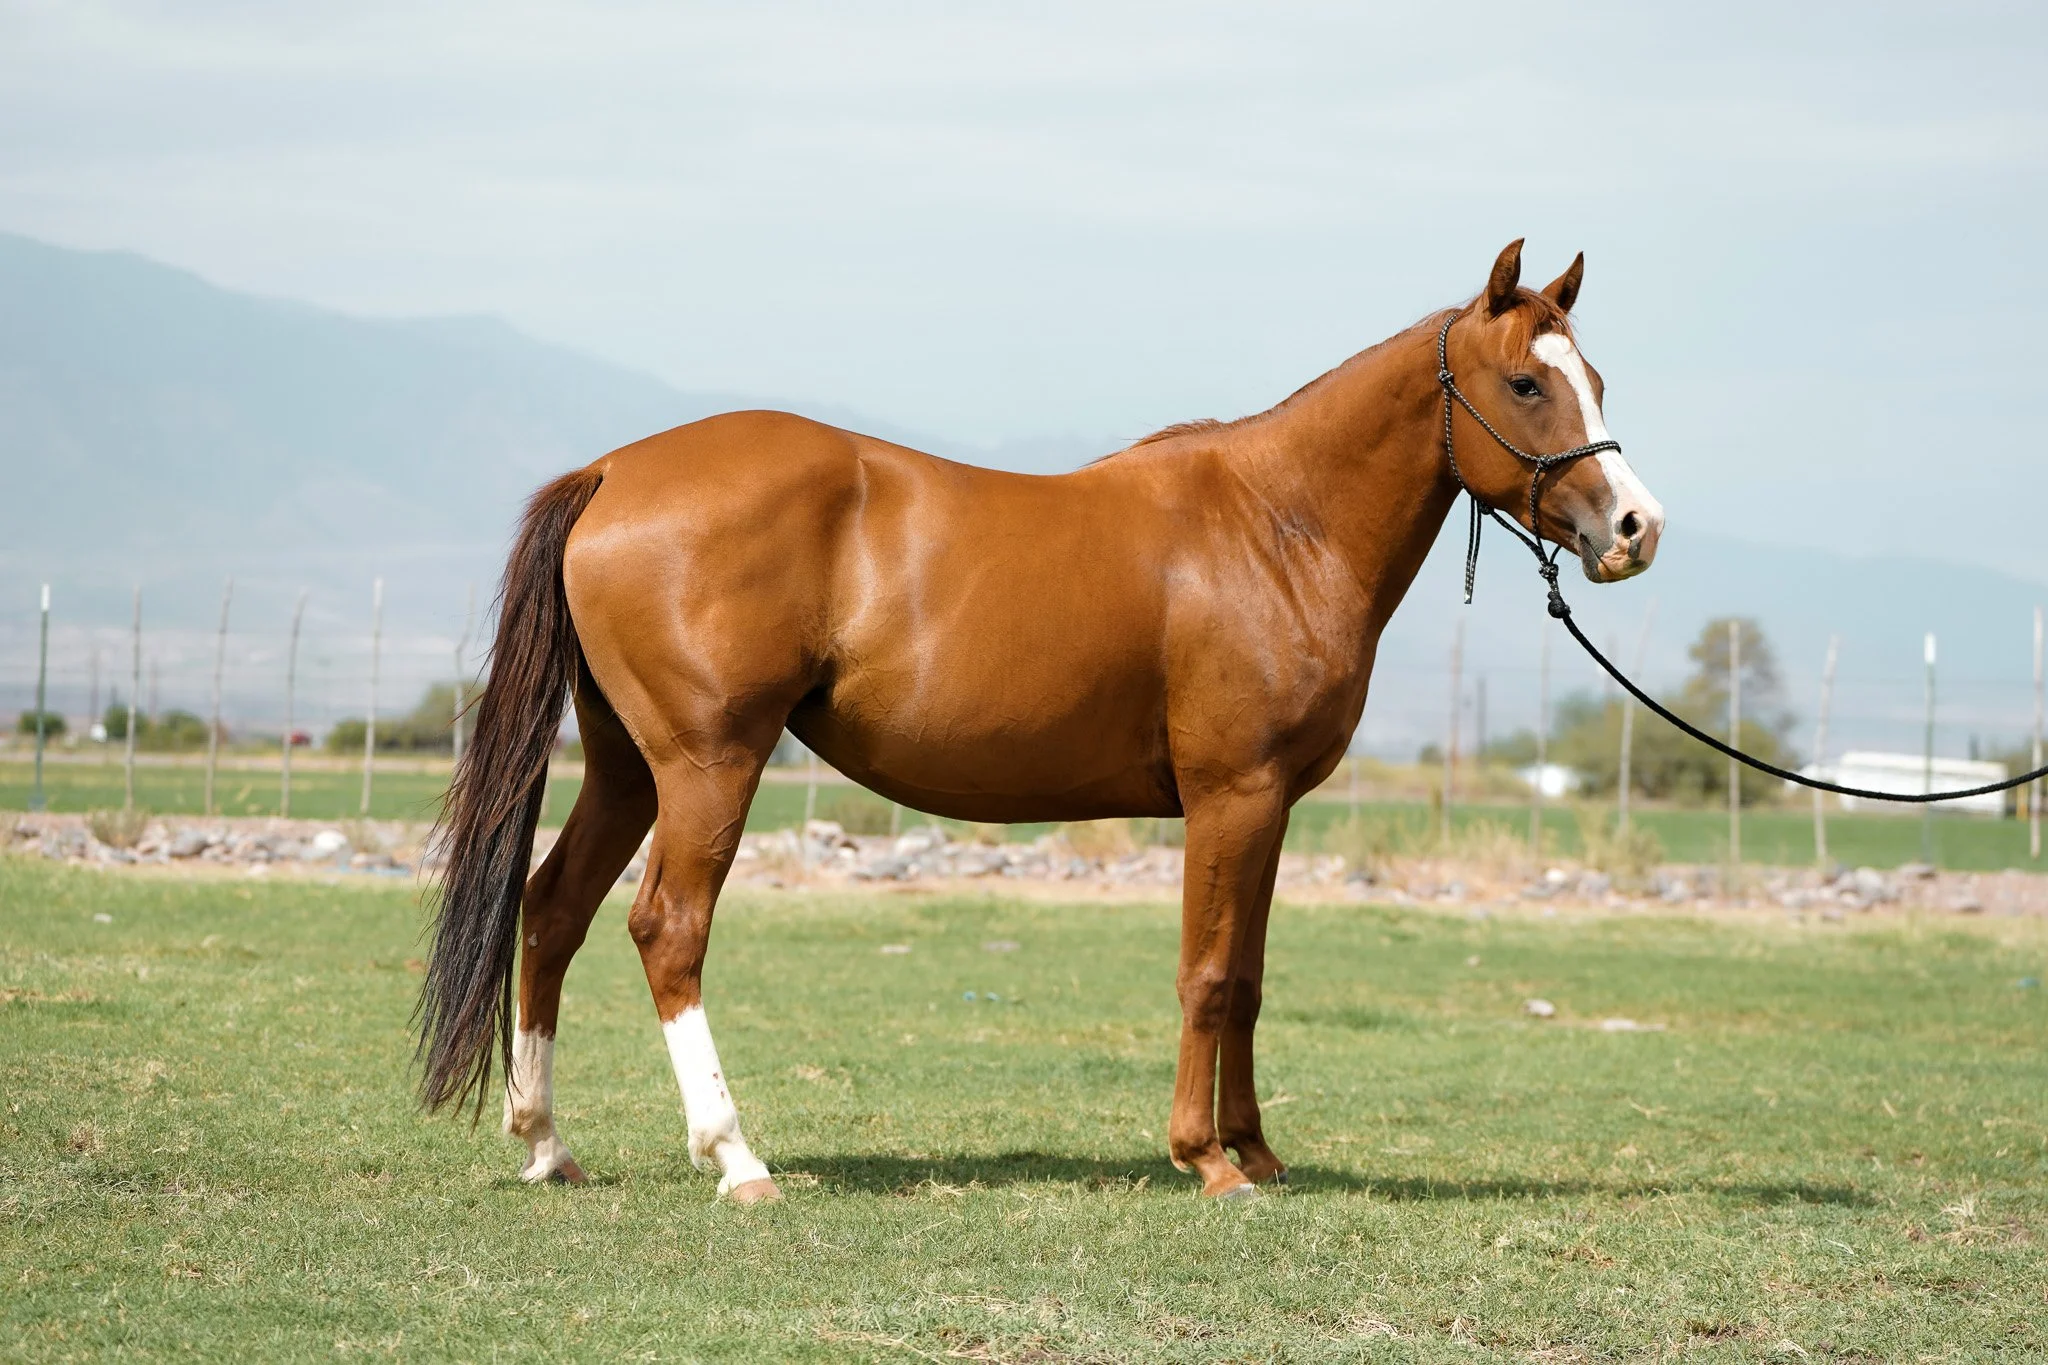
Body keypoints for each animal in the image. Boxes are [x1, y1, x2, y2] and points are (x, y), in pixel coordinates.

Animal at [416, 239, 1664, 1203]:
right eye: (1526, 385)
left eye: (1596, 375)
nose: (1634, 528)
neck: (1276, 526)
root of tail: (611, 471)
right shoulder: (1230, 796)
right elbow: (1207, 973)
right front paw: (1204, 1159)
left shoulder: (1269, 809)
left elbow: (1249, 976)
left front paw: (1258, 1153)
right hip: (706, 765)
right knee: (666, 929)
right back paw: (736, 1158)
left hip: (626, 766)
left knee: (552, 910)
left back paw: (548, 1146)